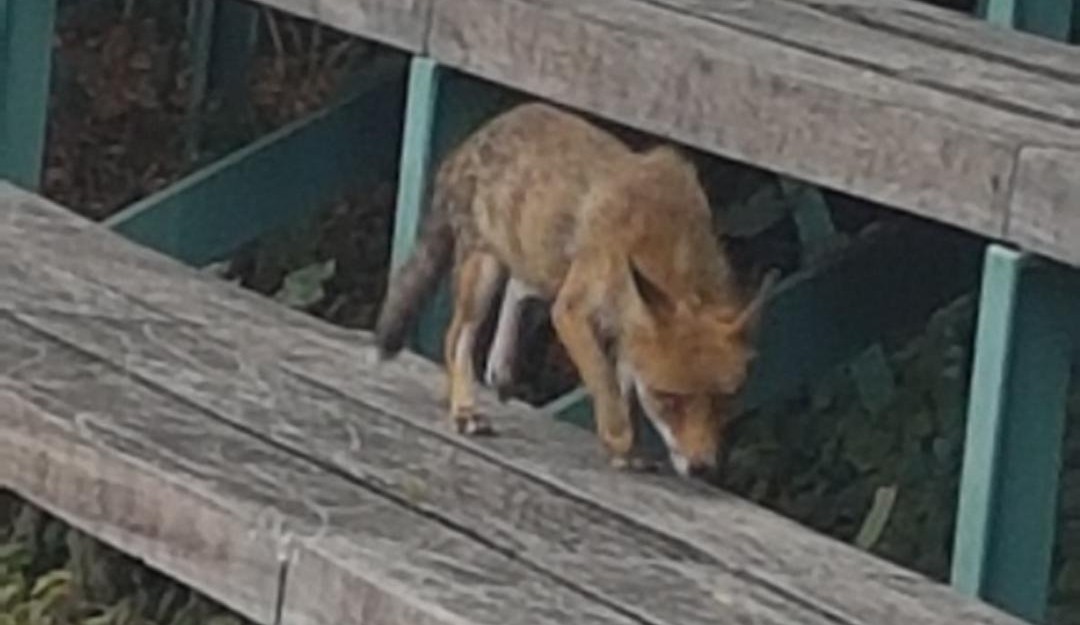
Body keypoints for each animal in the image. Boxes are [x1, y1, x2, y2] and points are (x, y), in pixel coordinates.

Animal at [373, 102, 776, 478]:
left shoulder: (623, 330)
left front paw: (626, 448)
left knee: (517, 288)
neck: (667, 241)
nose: (702, 467)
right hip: (483, 272)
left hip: (539, 264)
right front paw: (619, 440)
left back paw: (499, 371)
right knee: (456, 337)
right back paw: (464, 409)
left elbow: (622, 385)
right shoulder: (572, 312)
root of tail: (476, 137)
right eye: (668, 399)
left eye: (725, 401)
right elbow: (605, 384)